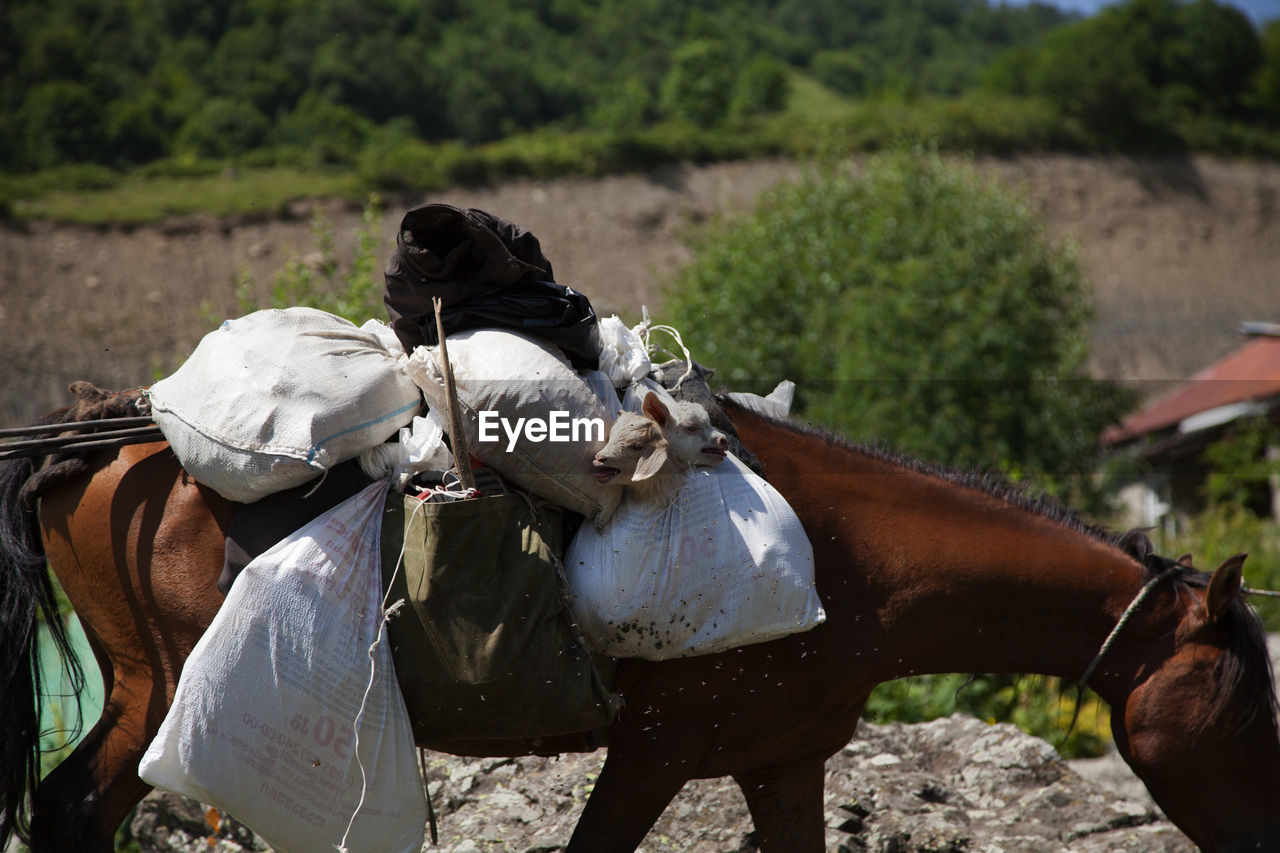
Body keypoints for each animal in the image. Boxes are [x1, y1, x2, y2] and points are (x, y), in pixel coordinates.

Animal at [2, 394, 1280, 845]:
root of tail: (95, 445)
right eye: (1250, 713)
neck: (854, 567)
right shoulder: (655, 753)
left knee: (69, 807)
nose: (1262, 839)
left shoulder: (781, 762)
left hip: (140, 687)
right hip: (169, 685)